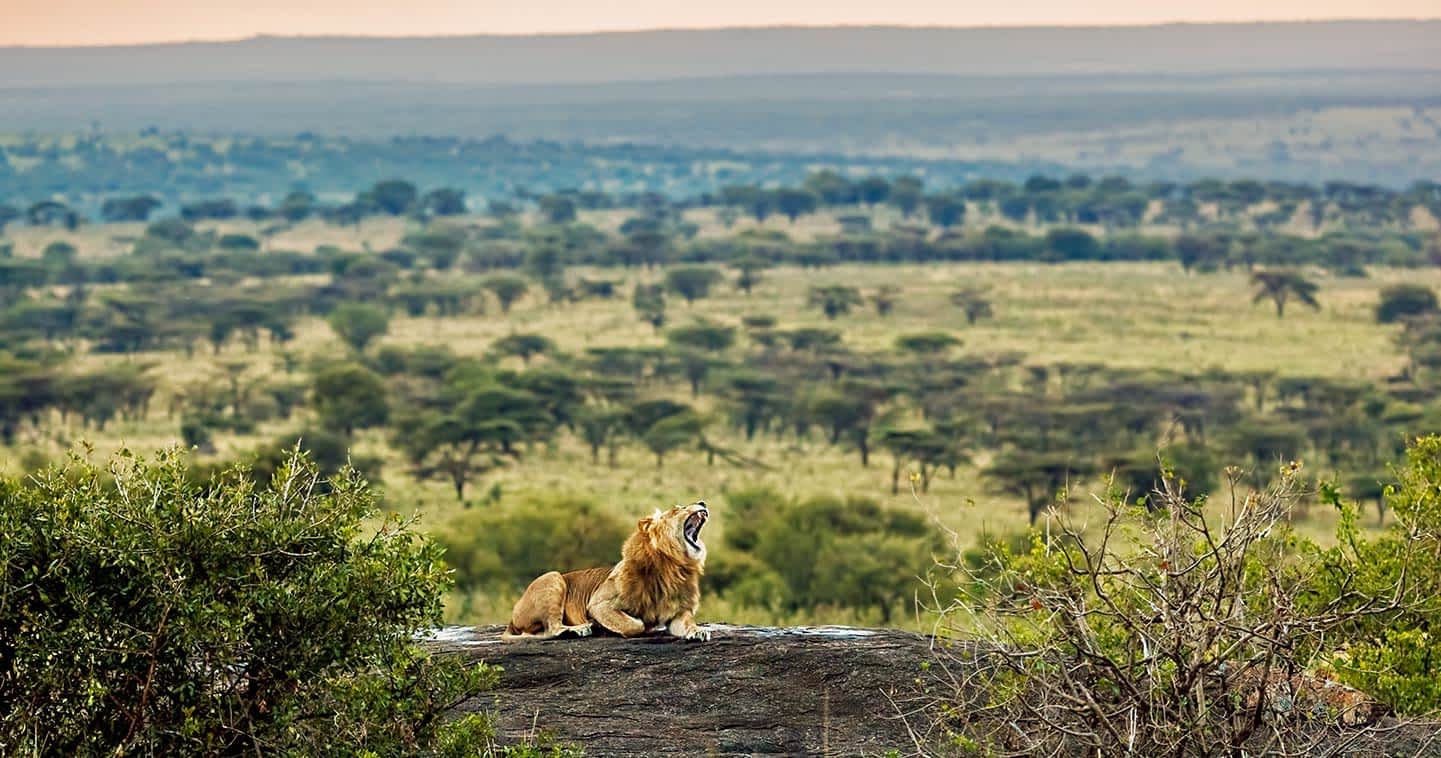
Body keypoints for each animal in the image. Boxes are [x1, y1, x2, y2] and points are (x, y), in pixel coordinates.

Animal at [501, 501, 714, 645]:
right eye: (678, 508)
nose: (702, 502)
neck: (673, 566)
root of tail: (512, 618)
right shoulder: (598, 604)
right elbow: (635, 625)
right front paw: (602, 625)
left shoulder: (678, 612)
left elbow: (688, 623)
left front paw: (698, 631)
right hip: (553, 577)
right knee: (551, 629)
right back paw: (579, 629)